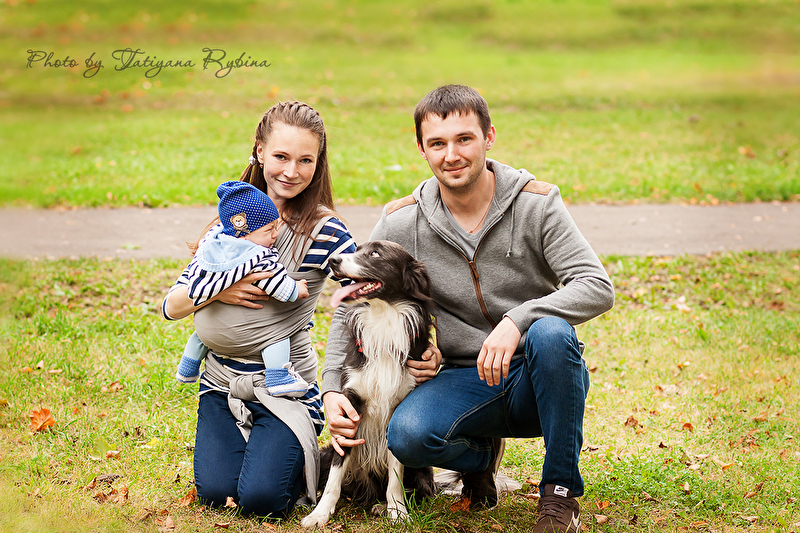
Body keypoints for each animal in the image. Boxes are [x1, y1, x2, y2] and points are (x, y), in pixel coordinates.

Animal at [301, 240, 437, 528]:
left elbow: (396, 474)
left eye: (375, 254)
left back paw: (381, 505)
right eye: (357, 249)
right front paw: (320, 513)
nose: (333, 260)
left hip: (422, 470)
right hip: (324, 454)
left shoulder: (397, 411)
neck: (383, 317)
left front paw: (397, 511)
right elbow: (335, 475)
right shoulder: (349, 406)